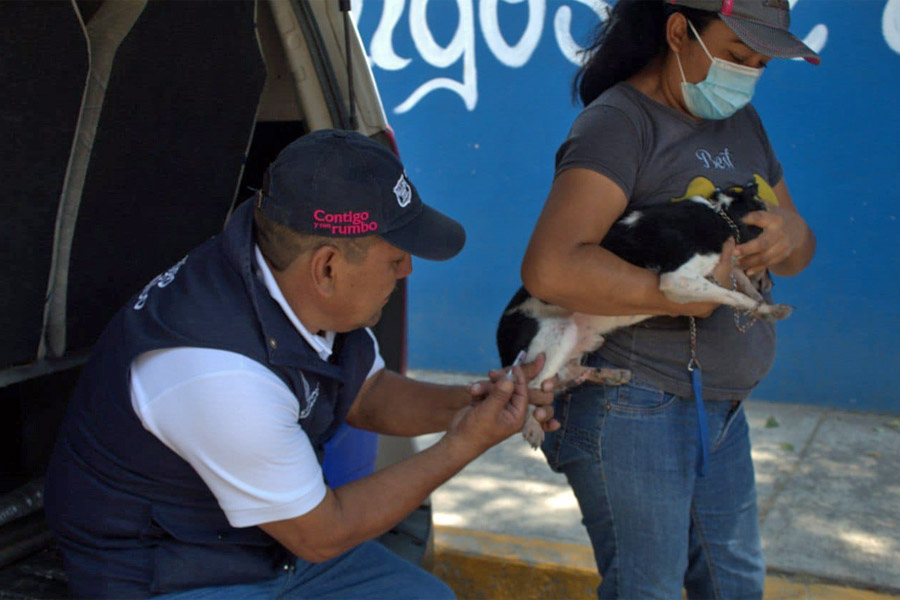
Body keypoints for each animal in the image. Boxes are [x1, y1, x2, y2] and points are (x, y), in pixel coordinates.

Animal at [500, 185, 796, 448]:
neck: (720, 213)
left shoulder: (722, 268)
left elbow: (741, 284)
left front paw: (765, 308)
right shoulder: (677, 279)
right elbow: (733, 295)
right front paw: (755, 305)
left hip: (583, 341)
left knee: (566, 374)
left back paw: (610, 374)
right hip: (558, 334)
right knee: (534, 386)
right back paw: (532, 425)